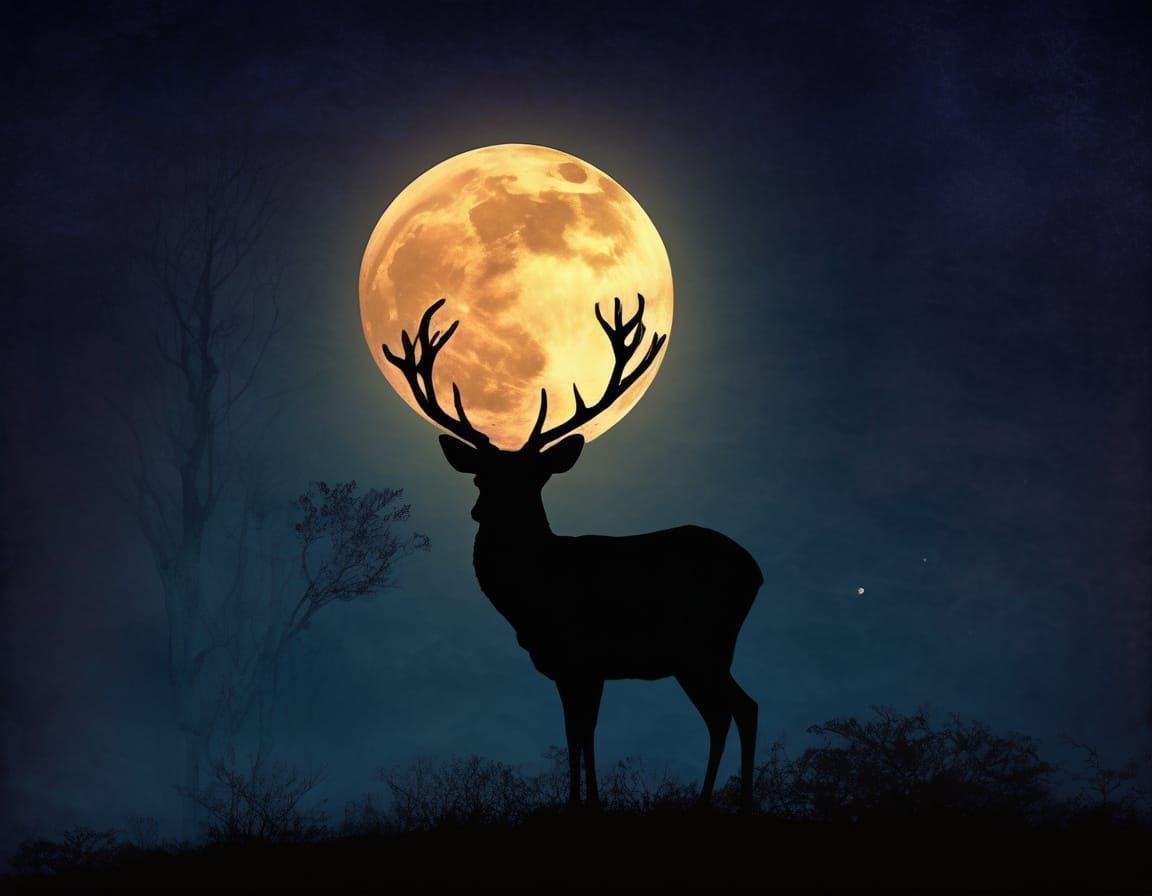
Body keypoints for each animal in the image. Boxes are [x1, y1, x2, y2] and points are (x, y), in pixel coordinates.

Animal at [382, 295, 763, 811]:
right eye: (481, 476)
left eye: (534, 479)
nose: (481, 510)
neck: (534, 596)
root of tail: (756, 571)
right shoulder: (574, 667)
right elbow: (577, 733)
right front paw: (583, 801)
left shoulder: (581, 653)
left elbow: (581, 732)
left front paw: (585, 804)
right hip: (698, 654)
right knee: (725, 713)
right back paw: (709, 803)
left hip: (703, 642)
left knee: (741, 708)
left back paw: (735, 804)